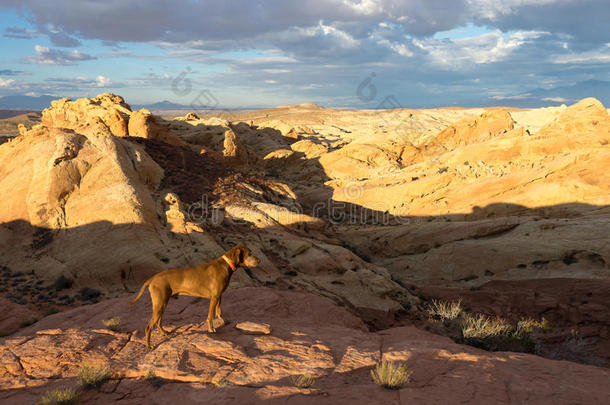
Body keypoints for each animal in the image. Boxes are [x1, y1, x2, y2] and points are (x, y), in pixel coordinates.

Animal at [129, 243, 258, 348]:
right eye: (249, 254)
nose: (259, 261)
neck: (226, 264)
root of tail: (152, 278)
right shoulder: (214, 297)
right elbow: (210, 316)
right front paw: (211, 329)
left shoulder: (219, 296)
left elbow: (219, 311)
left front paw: (223, 321)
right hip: (160, 303)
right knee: (148, 326)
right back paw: (149, 346)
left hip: (163, 303)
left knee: (158, 321)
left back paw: (163, 333)